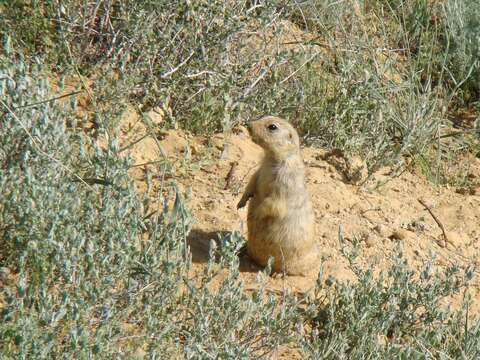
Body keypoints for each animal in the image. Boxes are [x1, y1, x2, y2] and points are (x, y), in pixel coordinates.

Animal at [237, 115, 318, 276]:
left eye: (272, 127)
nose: (249, 125)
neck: (271, 159)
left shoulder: (285, 181)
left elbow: (273, 202)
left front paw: (255, 215)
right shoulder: (260, 169)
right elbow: (252, 181)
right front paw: (241, 203)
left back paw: (277, 273)